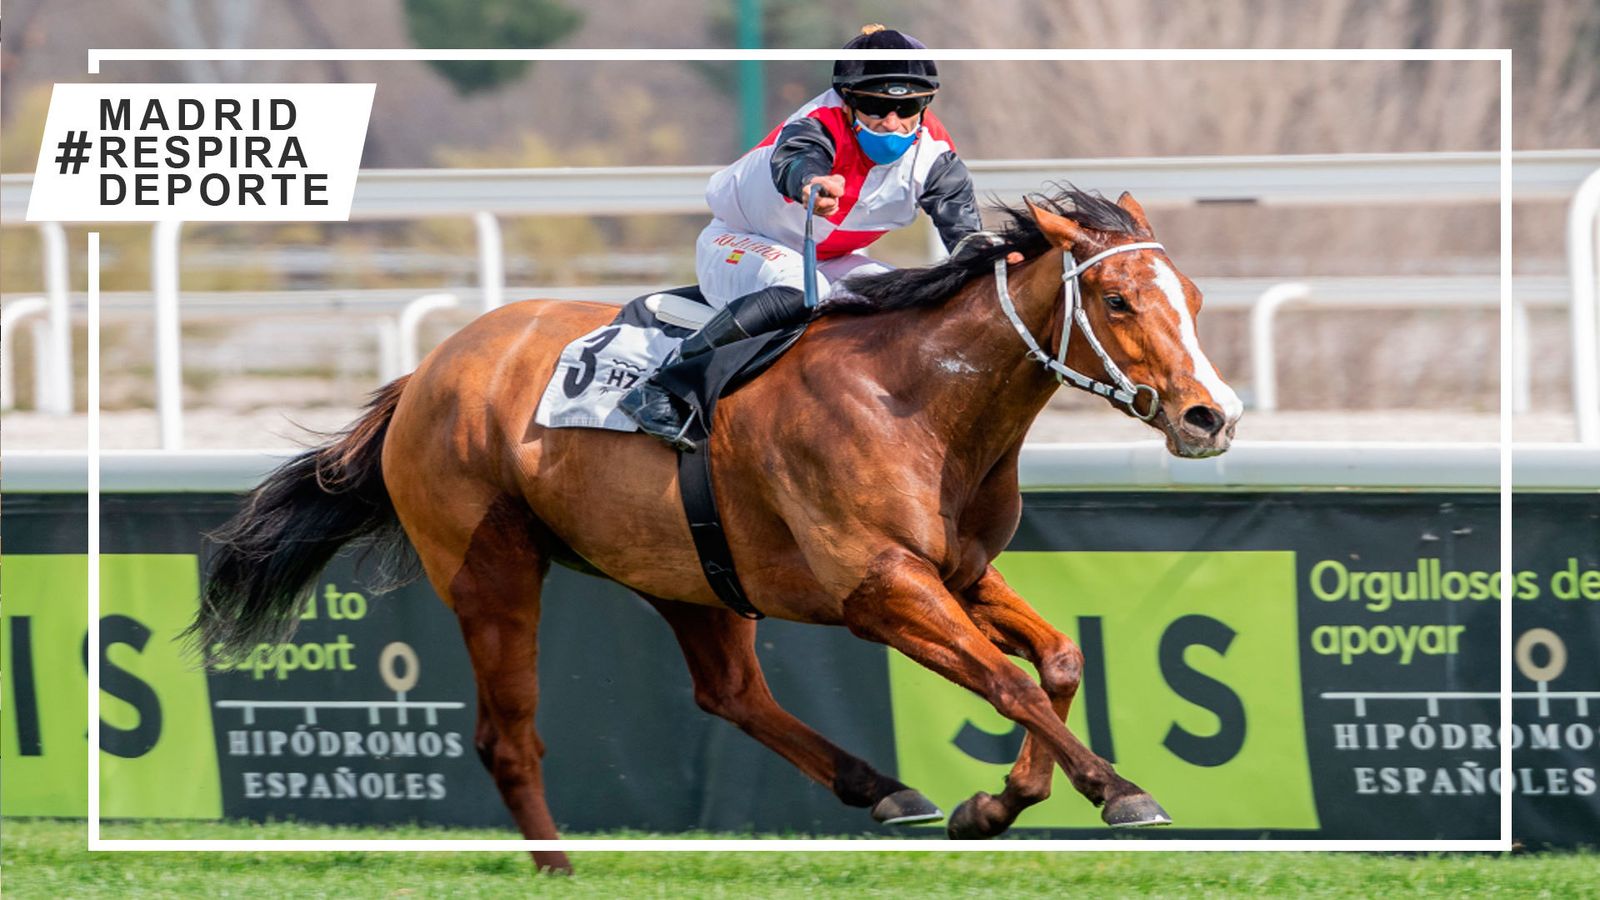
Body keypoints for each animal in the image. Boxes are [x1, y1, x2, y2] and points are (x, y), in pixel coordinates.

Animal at [192, 188, 1242, 872]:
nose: (1212, 416)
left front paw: (995, 804)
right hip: (491, 570)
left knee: (730, 691)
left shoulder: (959, 571)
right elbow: (1005, 683)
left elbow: (1056, 662)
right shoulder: (880, 587)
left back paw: (881, 787)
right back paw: (557, 865)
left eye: (1192, 299)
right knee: (506, 735)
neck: (919, 401)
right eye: (1117, 299)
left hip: (688, 570)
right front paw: (1115, 791)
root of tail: (430, 372)